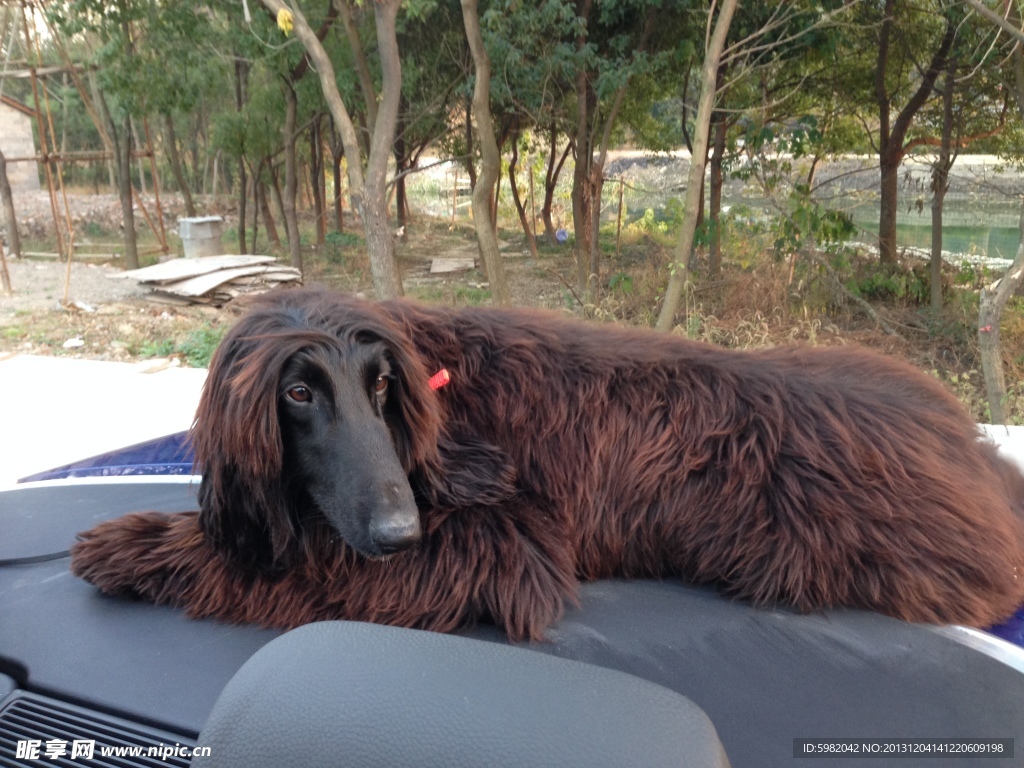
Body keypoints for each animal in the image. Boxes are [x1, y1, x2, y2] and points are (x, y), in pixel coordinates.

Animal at [70, 286, 1024, 638]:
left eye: (384, 387)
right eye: (298, 393)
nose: (399, 530)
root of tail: (982, 460)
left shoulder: (506, 550)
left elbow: (291, 566)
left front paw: (131, 545)